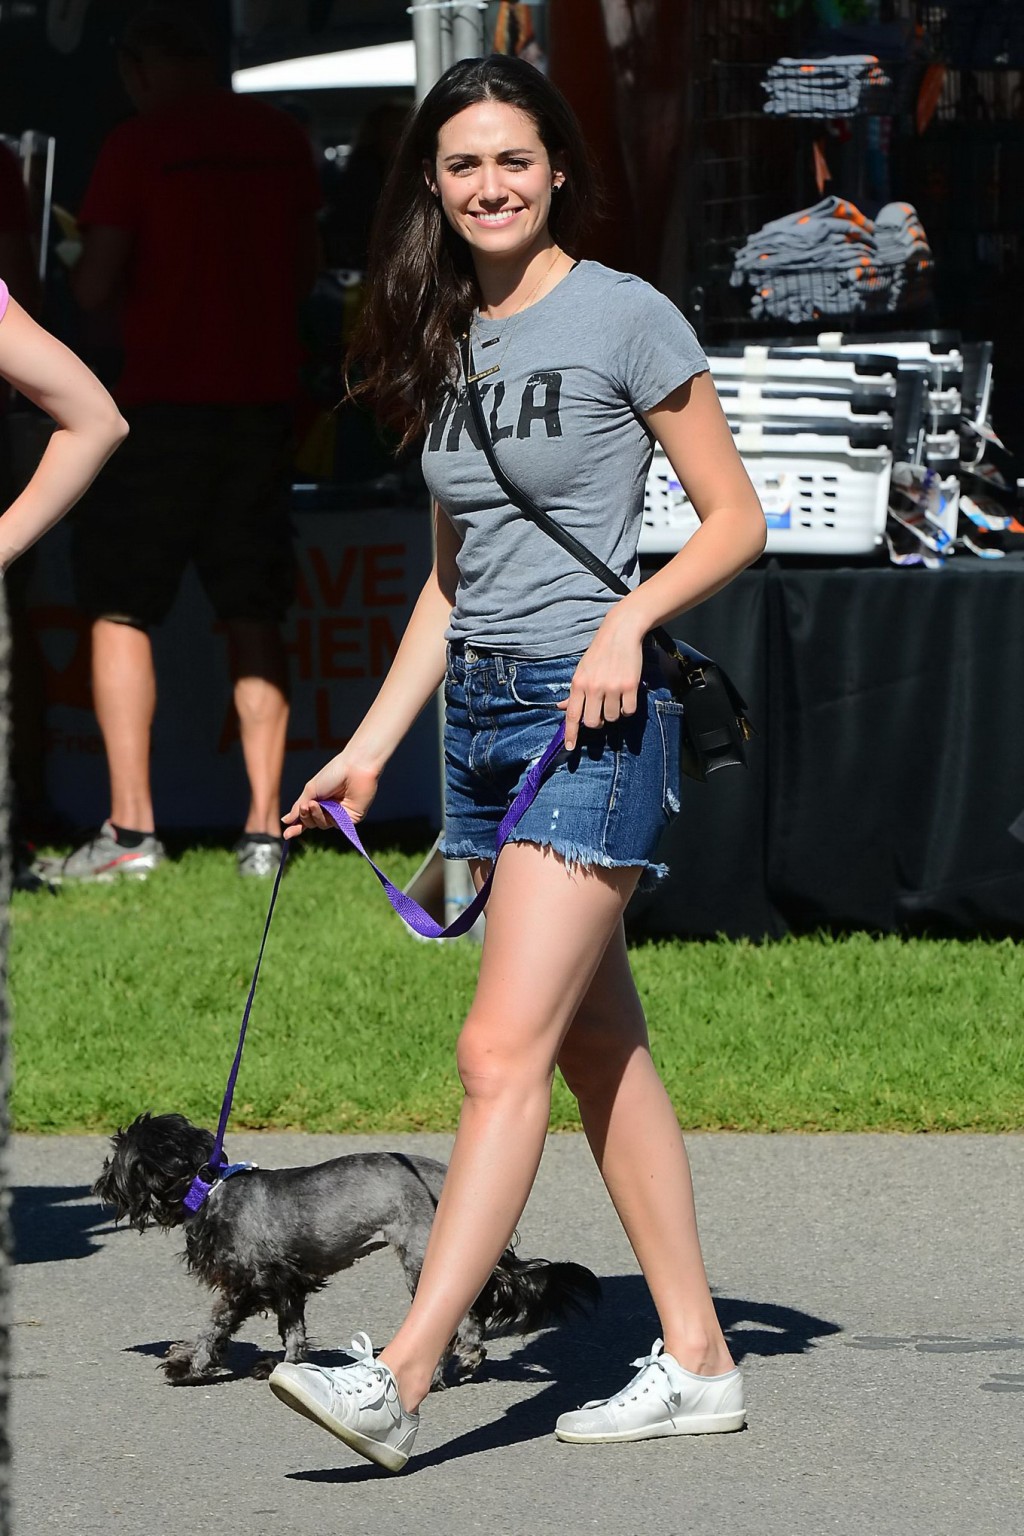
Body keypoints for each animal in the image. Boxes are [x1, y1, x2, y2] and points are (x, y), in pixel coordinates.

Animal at [94, 1112, 601, 1388]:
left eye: (118, 1158)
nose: (100, 1184)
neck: (211, 1188)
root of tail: (445, 1180)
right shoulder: (288, 1285)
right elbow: (293, 1332)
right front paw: (286, 1366)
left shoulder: (246, 1283)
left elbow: (213, 1328)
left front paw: (190, 1364)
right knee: (469, 1313)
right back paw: (469, 1358)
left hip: (420, 1259)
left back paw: (435, 1375)